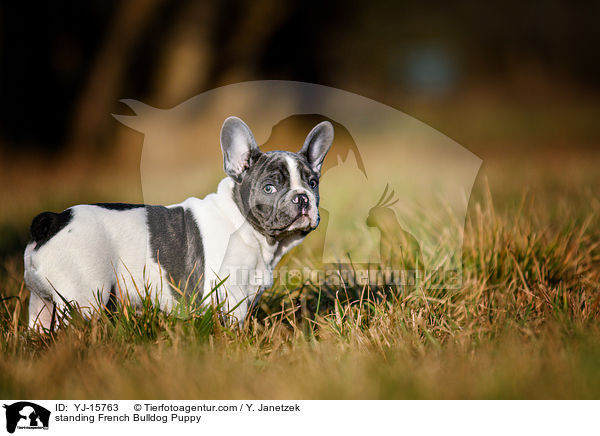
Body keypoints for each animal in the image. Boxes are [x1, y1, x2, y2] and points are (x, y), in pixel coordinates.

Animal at [23, 117, 332, 328]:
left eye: (312, 183)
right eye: (270, 187)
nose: (302, 198)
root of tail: (53, 221)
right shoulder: (230, 296)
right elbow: (234, 326)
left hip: (42, 303)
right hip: (86, 297)